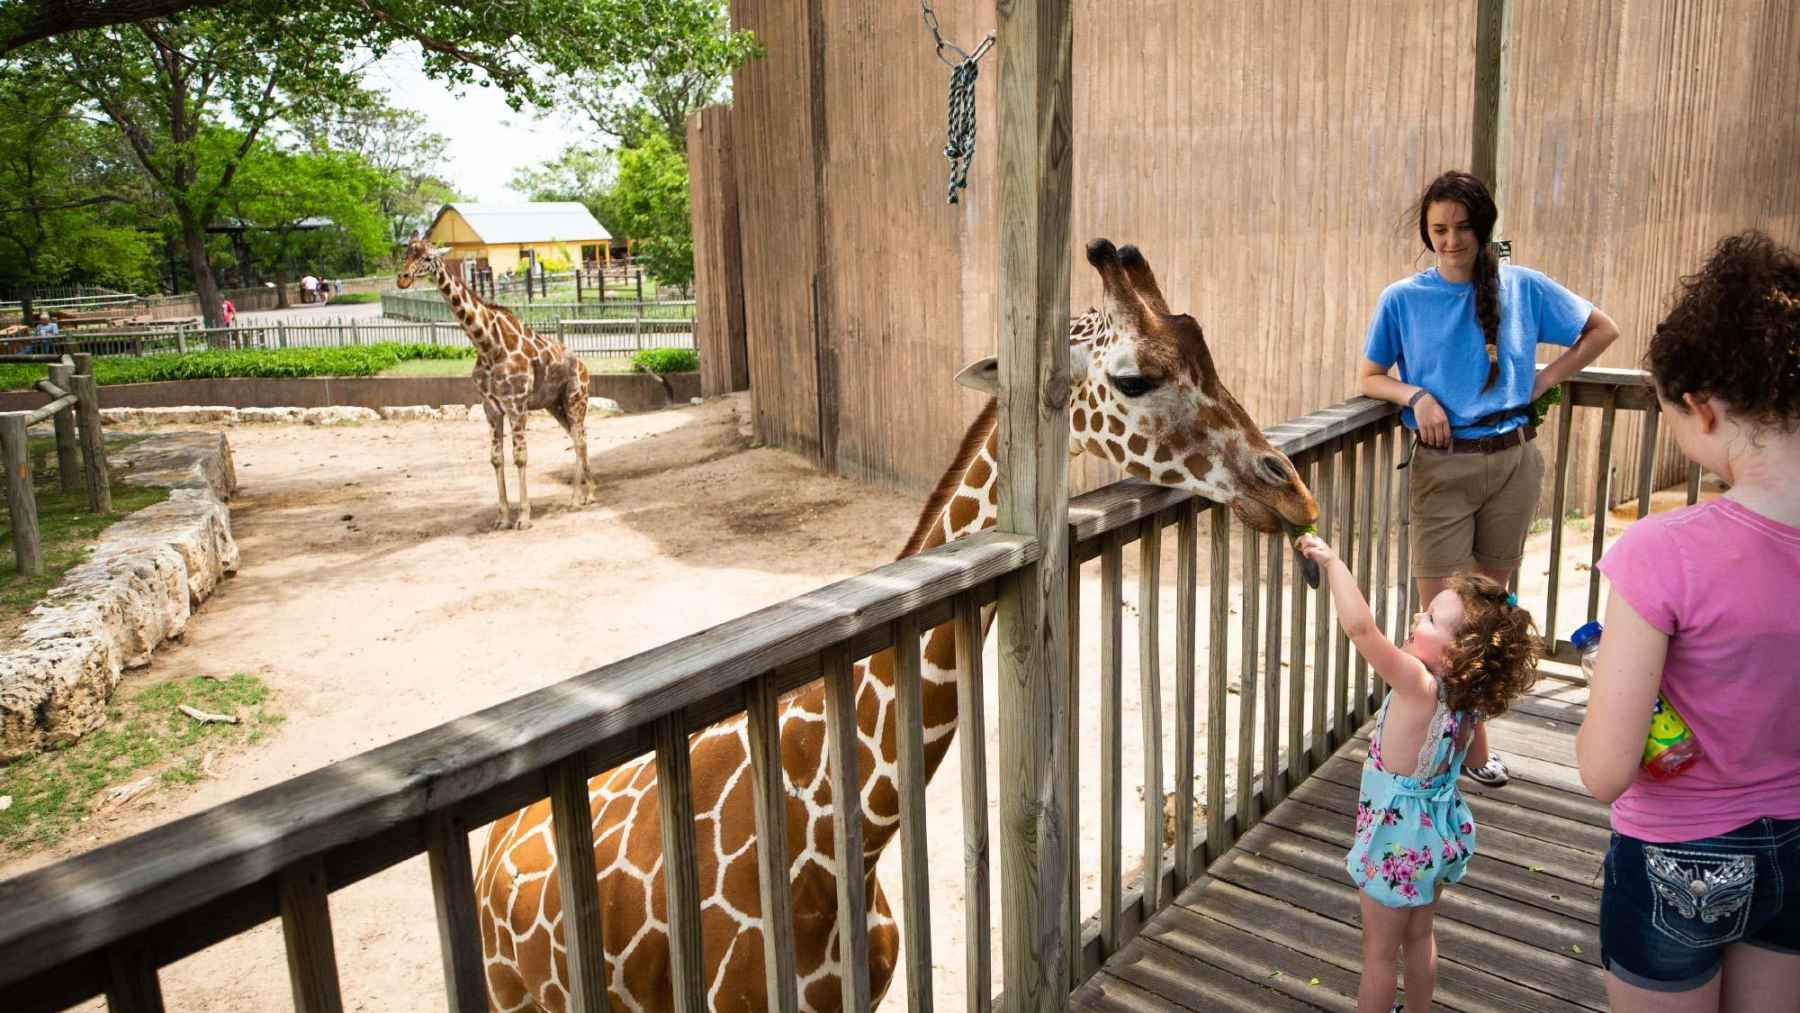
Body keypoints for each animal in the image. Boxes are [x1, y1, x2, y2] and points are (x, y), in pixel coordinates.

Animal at [396, 237, 592, 530]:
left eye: (428, 257)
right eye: (406, 254)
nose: (403, 278)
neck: (488, 345)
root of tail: (584, 366)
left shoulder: (516, 404)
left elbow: (520, 457)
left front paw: (524, 517)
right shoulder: (491, 407)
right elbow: (496, 458)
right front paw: (502, 517)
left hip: (575, 399)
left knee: (579, 440)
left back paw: (575, 499)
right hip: (555, 405)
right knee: (578, 437)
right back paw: (590, 493)